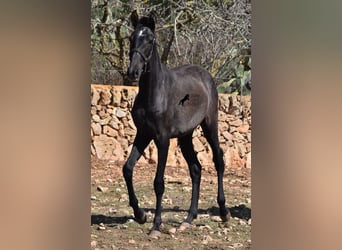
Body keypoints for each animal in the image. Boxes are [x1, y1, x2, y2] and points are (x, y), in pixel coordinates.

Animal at [123, 10, 230, 238]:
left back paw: (224, 212)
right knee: (196, 169)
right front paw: (140, 215)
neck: (154, 92)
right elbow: (127, 169)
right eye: (131, 38)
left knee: (218, 160)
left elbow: (159, 182)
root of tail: (205, 74)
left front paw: (156, 225)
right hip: (185, 136)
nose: (133, 71)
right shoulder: (143, 134)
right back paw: (188, 219)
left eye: (150, 40)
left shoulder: (162, 139)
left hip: (210, 125)